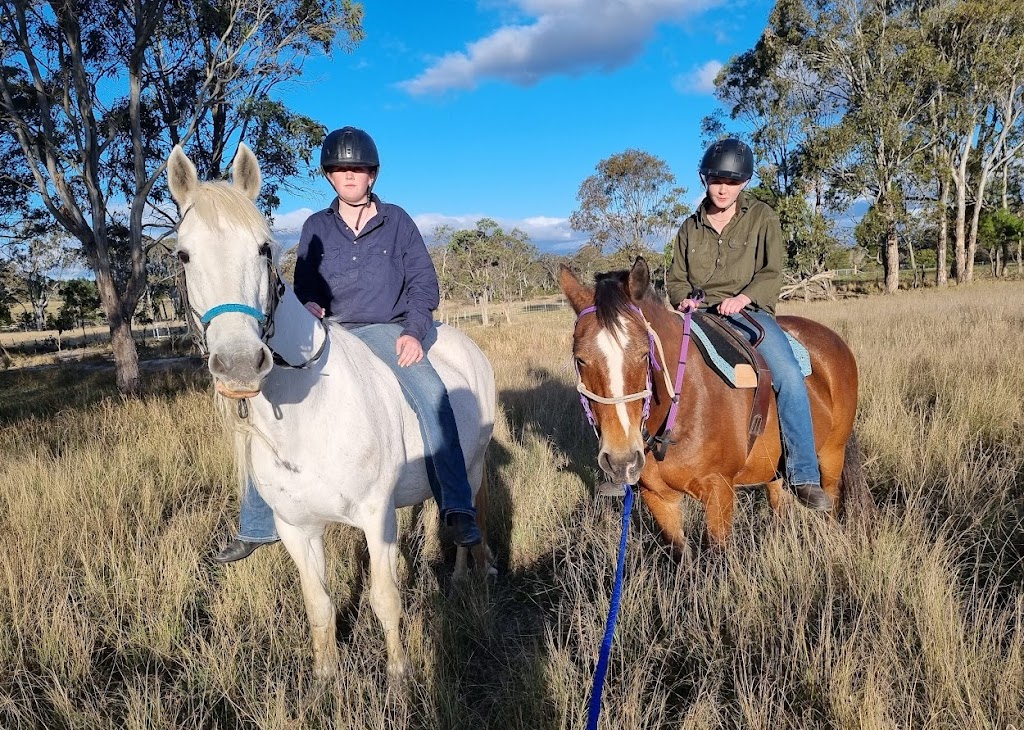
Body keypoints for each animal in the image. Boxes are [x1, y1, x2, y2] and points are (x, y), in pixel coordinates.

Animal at [166, 143, 496, 679]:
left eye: (264, 248)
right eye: (183, 254)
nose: (239, 365)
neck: (311, 418)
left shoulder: (375, 517)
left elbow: (385, 599)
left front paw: (399, 677)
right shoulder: (297, 530)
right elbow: (318, 605)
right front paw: (325, 678)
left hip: (474, 466)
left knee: (467, 521)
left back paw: (469, 574)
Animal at [560, 258, 868, 549]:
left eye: (645, 354)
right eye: (580, 359)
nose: (622, 461)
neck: (679, 414)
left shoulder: (719, 492)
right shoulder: (658, 498)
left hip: (832, 454)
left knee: (829, 505)